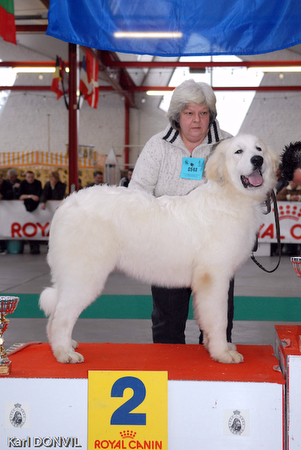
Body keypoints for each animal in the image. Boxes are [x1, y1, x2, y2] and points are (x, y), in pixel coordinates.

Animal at [39, 133, 276, 362]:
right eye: (239, 151)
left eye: (258, 149)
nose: (258, 160)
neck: (229, 198)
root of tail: (67, 203)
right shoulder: (214, 278)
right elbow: (219, 319)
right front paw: (222, 354)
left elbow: (210, 321)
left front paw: (215, 347)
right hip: (85, 275)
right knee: (60, 316)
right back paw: (64, 353)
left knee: (55, 315)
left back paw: (63, 346)